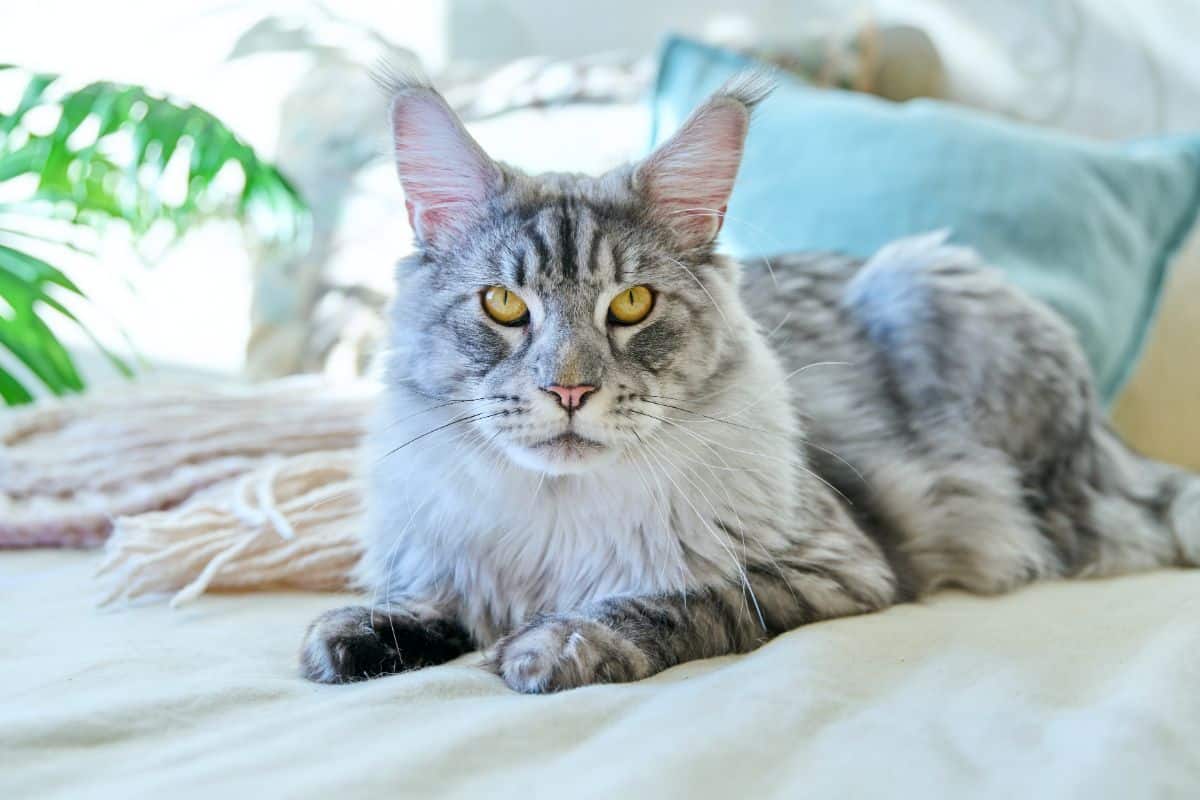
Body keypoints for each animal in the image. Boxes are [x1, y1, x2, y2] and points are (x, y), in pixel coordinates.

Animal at [300, 74, 1200, 695]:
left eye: (632, 305)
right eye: (503, 305)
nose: (569, 391)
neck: (558, 521)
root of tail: (1115, 450)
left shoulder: (830, 567)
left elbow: (661, 602)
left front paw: (553, 646)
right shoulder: (452, 564)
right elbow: (434, 602)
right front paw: (359, 638)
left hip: (928, 290)